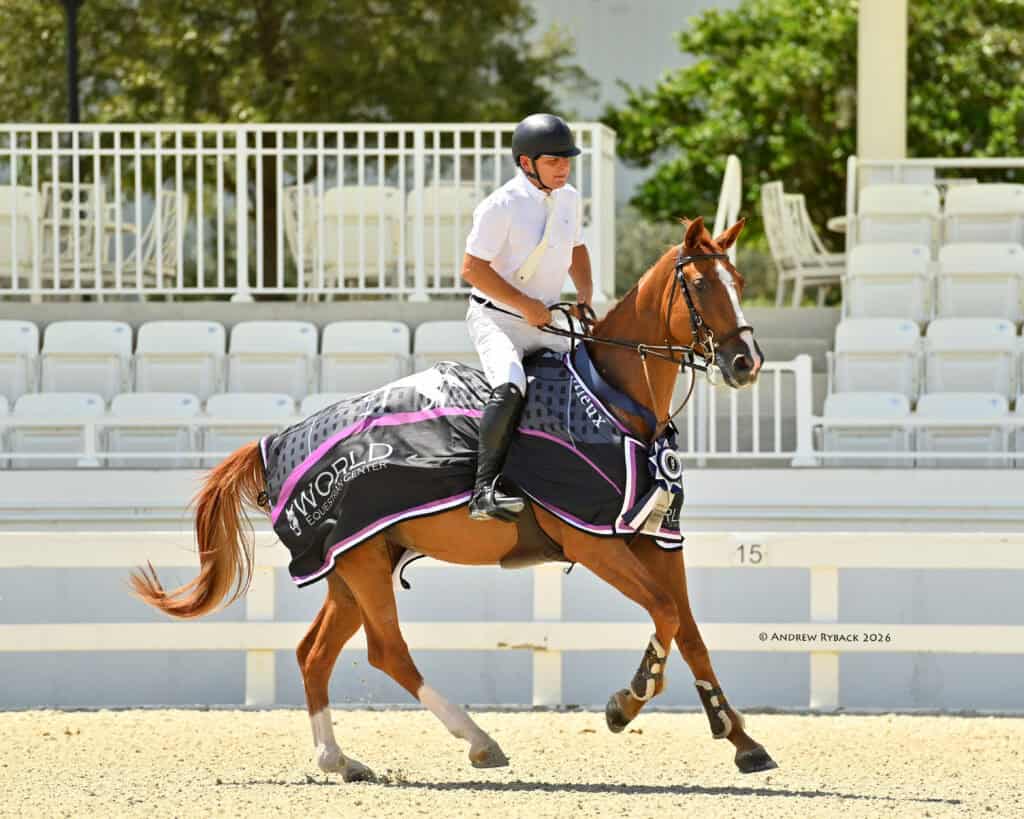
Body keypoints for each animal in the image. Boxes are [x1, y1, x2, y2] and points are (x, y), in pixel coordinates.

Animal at [130, 215, 776, 781]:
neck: (614, 403)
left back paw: (339, 761)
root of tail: (278, 443)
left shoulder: (657, 539)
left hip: (352, 565)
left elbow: (690, 632)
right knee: (387, 651)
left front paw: (742, 740)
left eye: (740, 284)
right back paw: (479, 741)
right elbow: (665, 614)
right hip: (364, 565)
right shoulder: (593, 543)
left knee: (314, 653)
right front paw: (629, 700)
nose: (746, 362)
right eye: (700, 285)